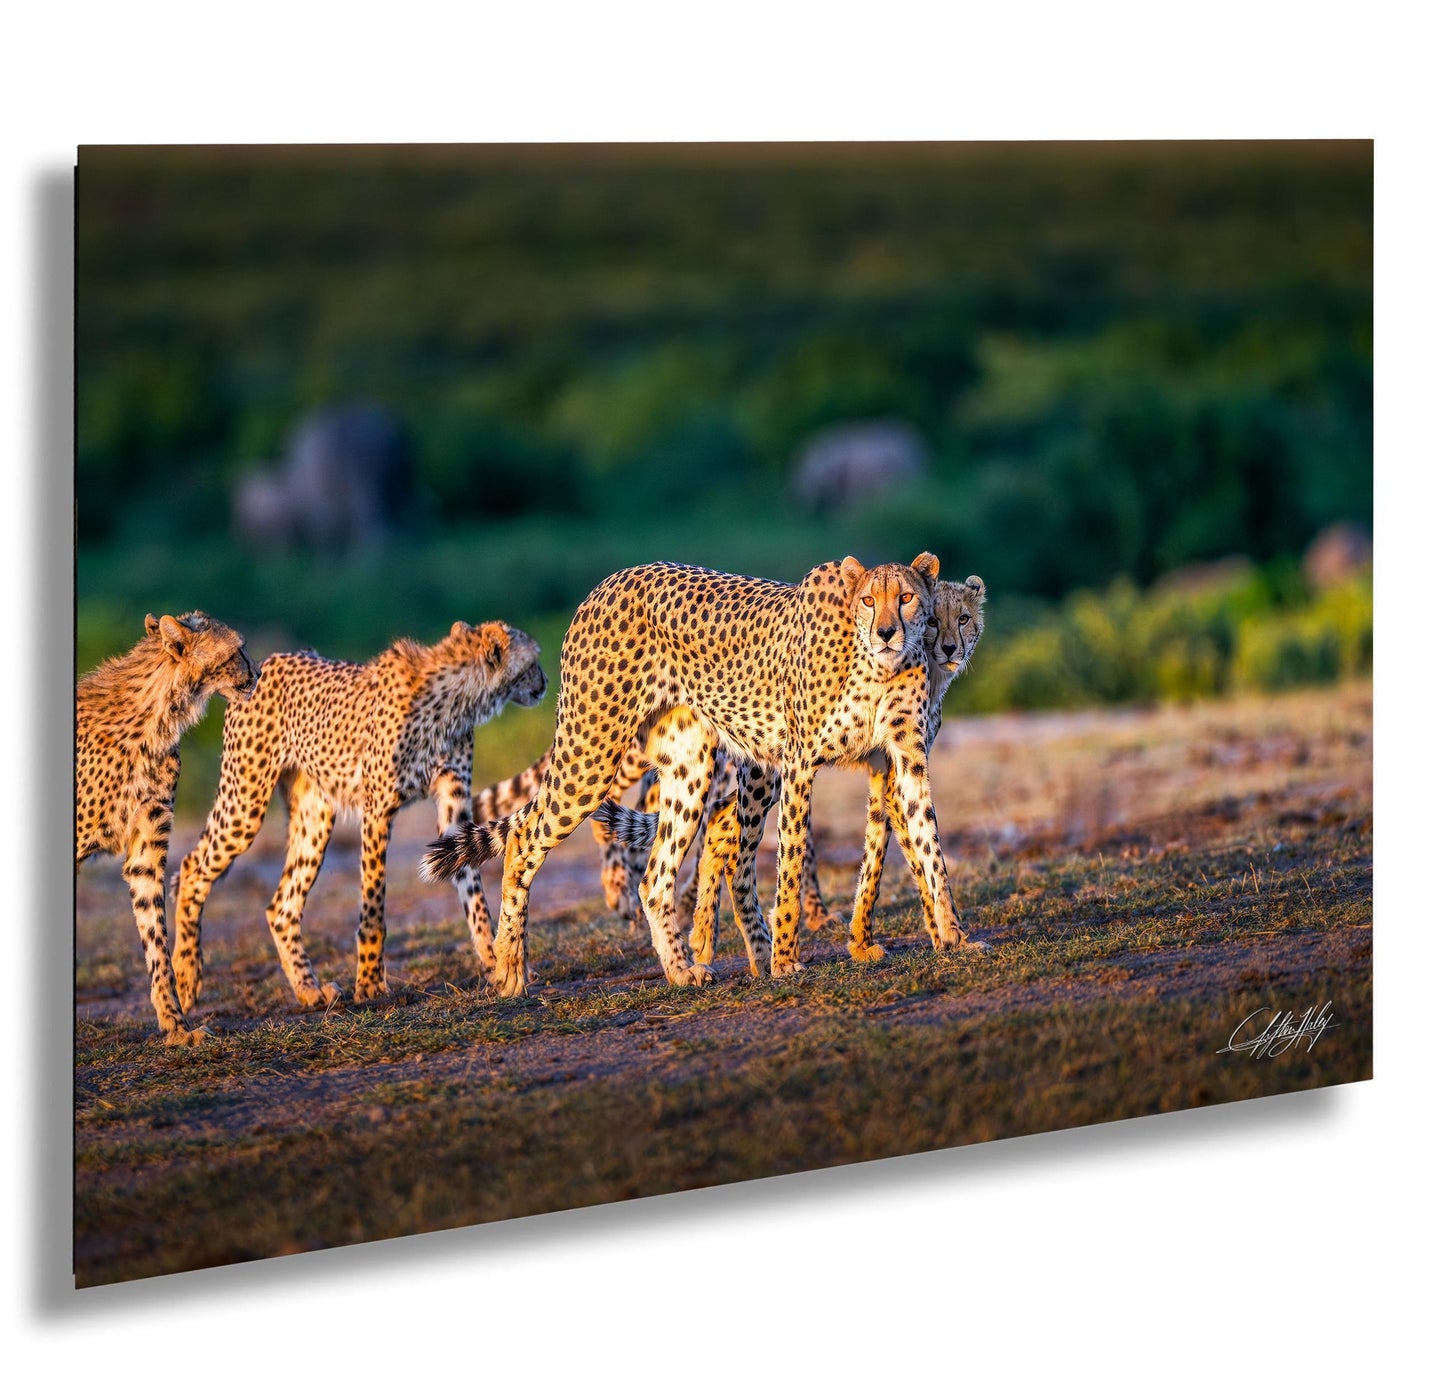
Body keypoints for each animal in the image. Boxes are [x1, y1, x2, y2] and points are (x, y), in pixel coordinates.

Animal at [75, 612, 258, 1045]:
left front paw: (177, 1027)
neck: (157, 719)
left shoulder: (145, 852)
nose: (257, 673)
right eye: (237, 650)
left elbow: (156, 939)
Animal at [172, 621, 546, 1013]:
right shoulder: (378, 810)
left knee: (281, 906)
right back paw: (186, 977)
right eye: (532, 661)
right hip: (245, 802)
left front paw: (496, 964)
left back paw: (309, 991)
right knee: (191, 867)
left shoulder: (453, 810)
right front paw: (369, 985)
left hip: (315, 819)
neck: (456, 699)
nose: (545, 682)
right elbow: (373, 904)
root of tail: (267, 661)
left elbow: (473, 890)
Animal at [421, 553, 970, 995]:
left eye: (906, 599)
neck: (874, 665)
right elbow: (791, 866)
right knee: (524, 840)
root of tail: (608, 582)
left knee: (655, 877)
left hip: (690, 770)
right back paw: (509, 971)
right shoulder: (796, 766)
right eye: (869, 601)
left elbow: (928, 843)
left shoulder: (903, 760)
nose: (887, 633)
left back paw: (682, 970)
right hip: (591, 755)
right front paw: (785, 961)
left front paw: (955, 936)